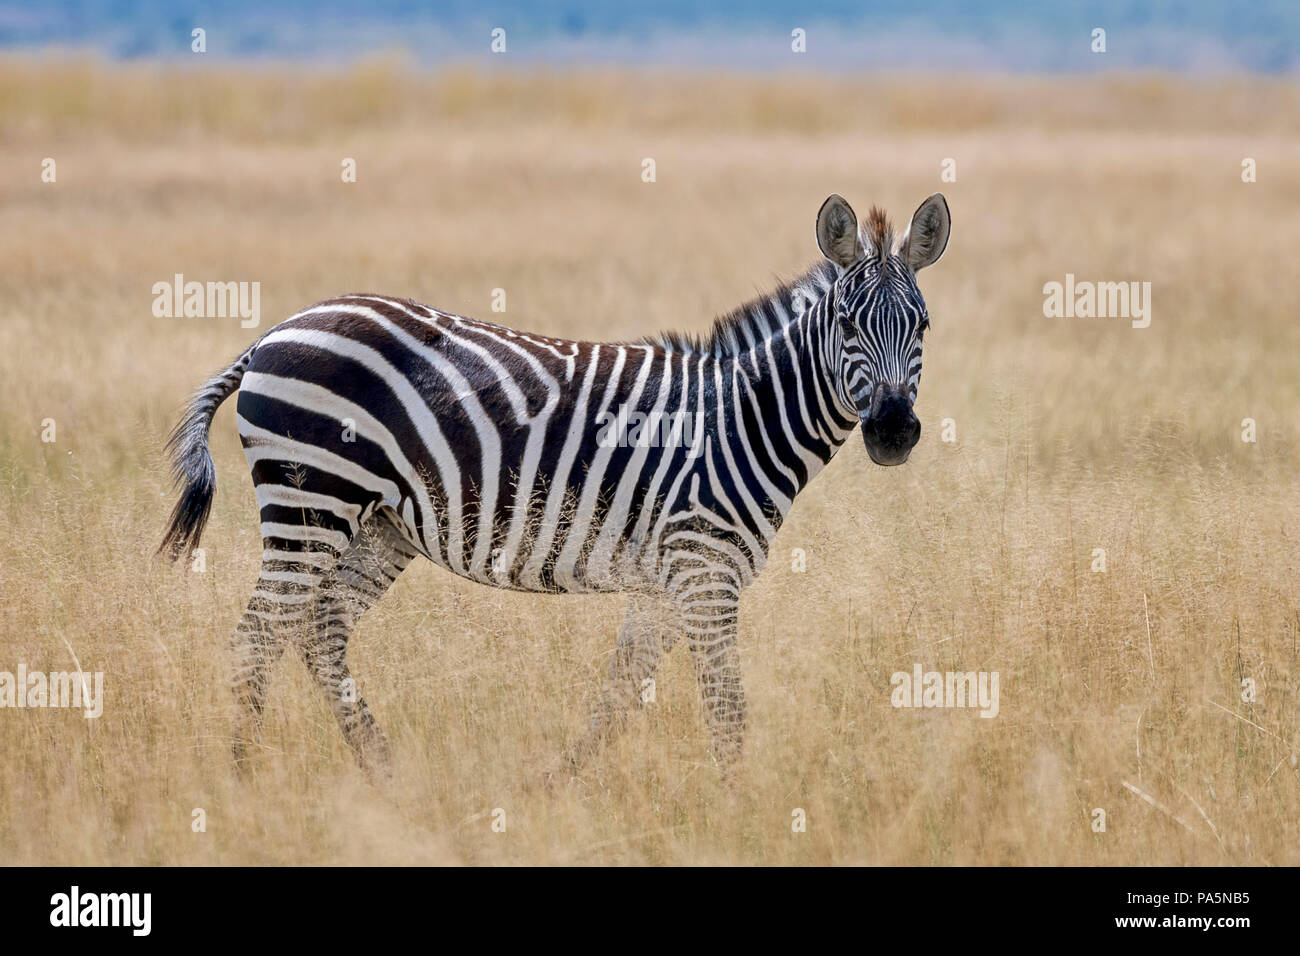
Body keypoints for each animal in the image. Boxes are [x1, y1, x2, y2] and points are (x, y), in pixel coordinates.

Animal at [157, 192, 951, 780]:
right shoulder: (703, 569)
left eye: (923, 325)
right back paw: (243, 779)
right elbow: (725, 705)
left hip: (377, 523)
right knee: (259, 635)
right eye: (846, 322)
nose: (892, 432)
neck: (741, 421)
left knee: (319, 629)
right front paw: (740, 805)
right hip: (311, 499)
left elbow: (621, 689)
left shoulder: (667, 581)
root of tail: (273, 333)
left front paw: (559, 785)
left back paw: (385, 774)